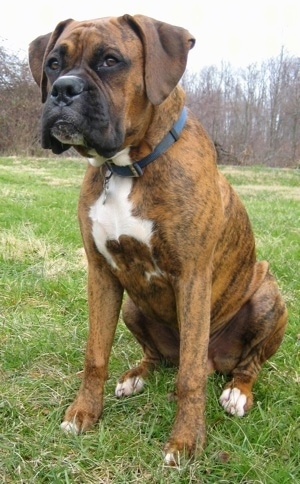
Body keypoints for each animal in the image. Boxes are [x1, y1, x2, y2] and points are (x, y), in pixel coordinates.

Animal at [28, 14, 288, 466]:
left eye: (111, 60)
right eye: (54, 64)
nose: (63, 89)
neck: (126, 167)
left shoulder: (193, 278)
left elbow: (188, 378)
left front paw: (185, 441)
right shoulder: (101, 274)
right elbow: (95, 355)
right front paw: (83, 414)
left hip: (268, 296)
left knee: (243, 364)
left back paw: (237, 392)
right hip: (134, 306)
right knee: (158, 357)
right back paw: (135, 376)